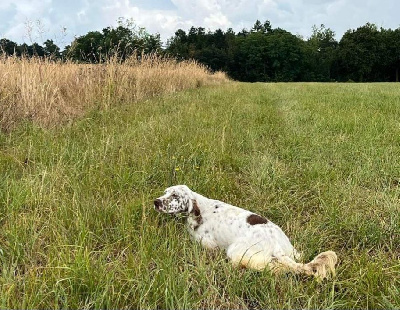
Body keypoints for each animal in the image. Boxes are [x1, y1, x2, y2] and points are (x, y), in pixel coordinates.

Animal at [155, 184, 336, 278]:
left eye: (175, 196)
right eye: (165, 192)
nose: (156, 201)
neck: (200, 210)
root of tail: (275, 244)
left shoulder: (207, 245)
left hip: (234, 250)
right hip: (292, 251)